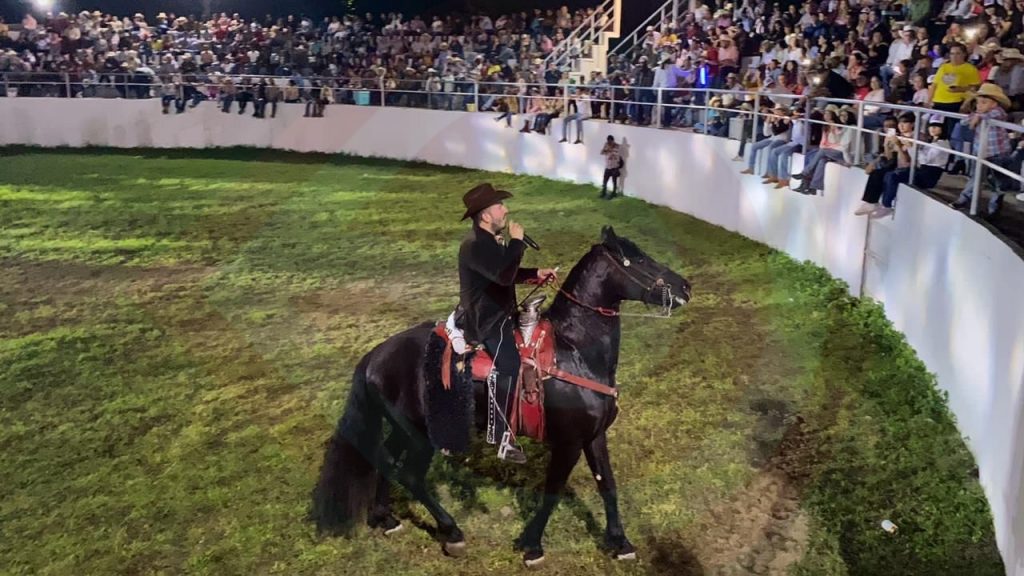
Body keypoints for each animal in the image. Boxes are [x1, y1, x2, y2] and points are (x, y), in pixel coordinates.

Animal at [311, 226, 692, 566]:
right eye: (637, 258)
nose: (685, 286)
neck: (573, 352)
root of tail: (375, 355)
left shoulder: (594, 436)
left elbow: (607, 484)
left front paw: (620, 542)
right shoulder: (568, 442)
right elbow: (553, 491)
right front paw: (532, 546)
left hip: (404, 429)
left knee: (385, 459)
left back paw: (385, 517)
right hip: (422, 435)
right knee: (411, 476)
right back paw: (452, 532)